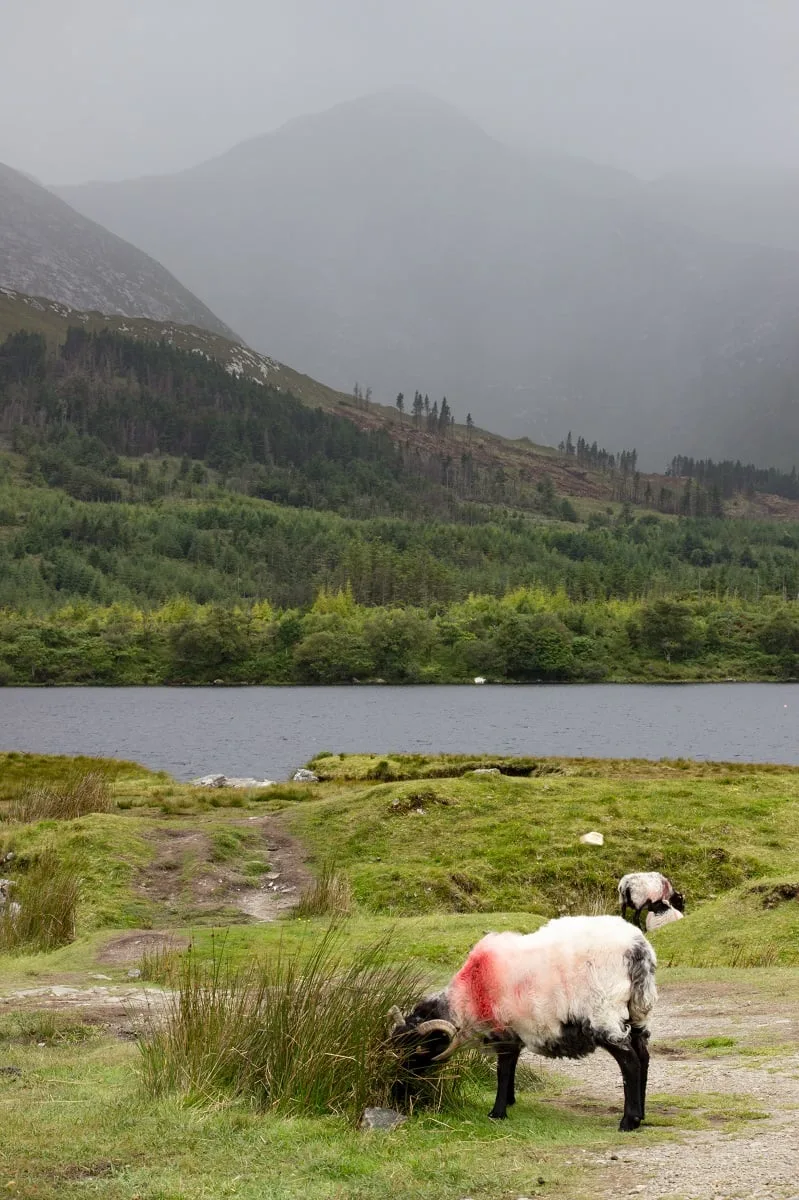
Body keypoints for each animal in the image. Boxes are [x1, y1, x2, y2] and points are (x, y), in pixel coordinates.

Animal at [389, 914, 656, 1132]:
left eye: (418, 1050)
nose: (397, 1090)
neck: (469, 996)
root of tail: (638, 949)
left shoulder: (504, 1032)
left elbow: (503, 1070)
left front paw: (497, 1112)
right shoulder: (515, 1034)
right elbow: (512, 1067)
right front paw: (509, 1101)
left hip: (604, 1014)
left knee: (630, 1061)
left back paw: (629, 1121)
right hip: (636, 1014)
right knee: (643, 1056)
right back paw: (641, 1114)